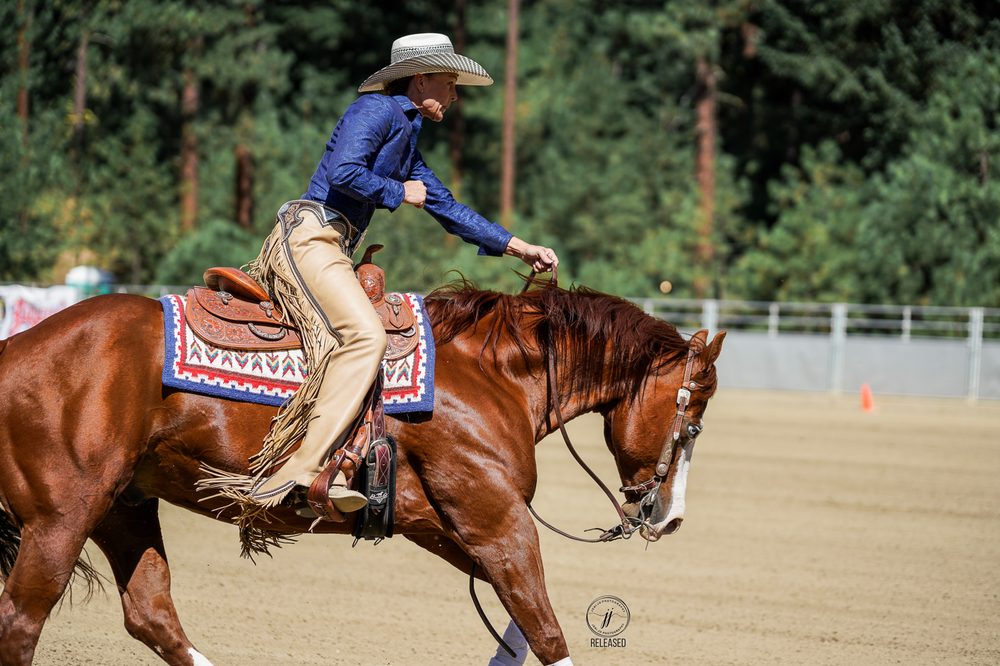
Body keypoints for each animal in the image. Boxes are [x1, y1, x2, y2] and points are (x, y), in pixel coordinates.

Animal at [0, 280, 725, 665]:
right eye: (692, 420)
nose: (670, 517)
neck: (490, 375)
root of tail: (16, 349)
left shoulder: (446, 527)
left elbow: (520, 628)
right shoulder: (497, 522)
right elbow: (544, 627)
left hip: (123, 507)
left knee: (151, 615)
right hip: (62, 516)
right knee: (22, 619)